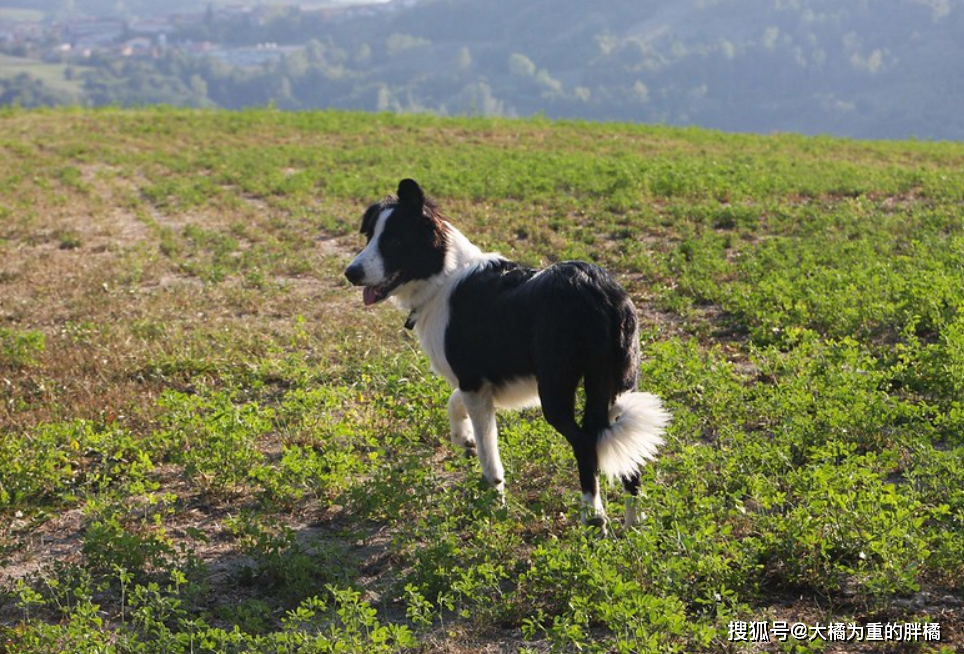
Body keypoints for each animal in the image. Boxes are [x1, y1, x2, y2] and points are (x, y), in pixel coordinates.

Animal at [346, 179, 672, 532]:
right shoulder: (482, 382)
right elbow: (454, 403)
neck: (442, 275)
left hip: (556, 391)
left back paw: (593, 518)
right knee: (630, 458)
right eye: (369, 237)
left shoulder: (474, 382)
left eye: (393, 241)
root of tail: (599, 291)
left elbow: (489, 455)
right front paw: (463, 438)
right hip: (616, 383)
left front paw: (494, 504)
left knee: (586, 444)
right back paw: (634, 525)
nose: (350, 273)